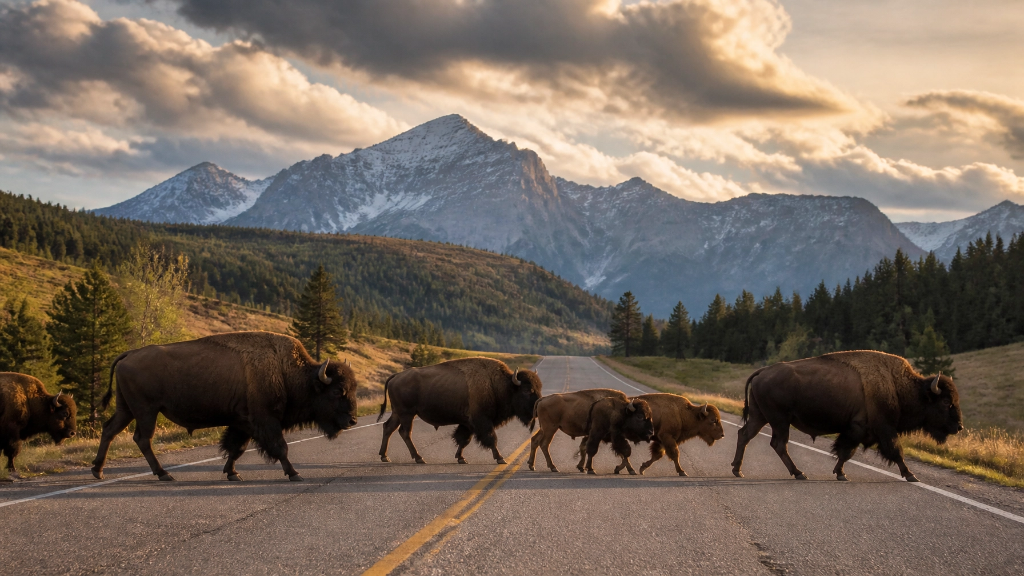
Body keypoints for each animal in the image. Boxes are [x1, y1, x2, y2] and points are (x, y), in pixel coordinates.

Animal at [92, 331, 359, 482]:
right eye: (337, 391)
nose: (353, 420)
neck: (287, 373)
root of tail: (129, 354)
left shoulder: (242, 423)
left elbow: (236, 449)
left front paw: (233, 474)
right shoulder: (265, 421)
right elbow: (280, 448)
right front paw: (294, 474)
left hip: (126, 409)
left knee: (109, 430)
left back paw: (98, 470)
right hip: (146, 411)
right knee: (142, 438)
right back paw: (164, 474)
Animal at [378, 357, 543, 465]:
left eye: (539, 388)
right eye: (528, 390)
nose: (538, 407)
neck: (501, 385)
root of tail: (396, 376)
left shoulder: (468, 423)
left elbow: (464, 439)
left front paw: (461, 458)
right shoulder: (482, 421)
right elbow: (491, 438)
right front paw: (500, 458)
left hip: (398, 413)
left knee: (388, 428)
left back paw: (384, 456)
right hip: (407, 414)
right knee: (405, 432)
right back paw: (419, 458)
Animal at [732, 350, 963, 482]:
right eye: (945, 402)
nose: (959, 427)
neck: (898, 387)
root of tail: (762, 372)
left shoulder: (860, 431)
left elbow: (845, 452)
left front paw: (840, 473)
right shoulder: (876, 429)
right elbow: (894, 452)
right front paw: (911, 475)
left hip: (761, 417)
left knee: (745, 435)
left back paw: (738, 470)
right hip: (780, 420)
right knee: (778, 444)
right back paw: (799, 473)